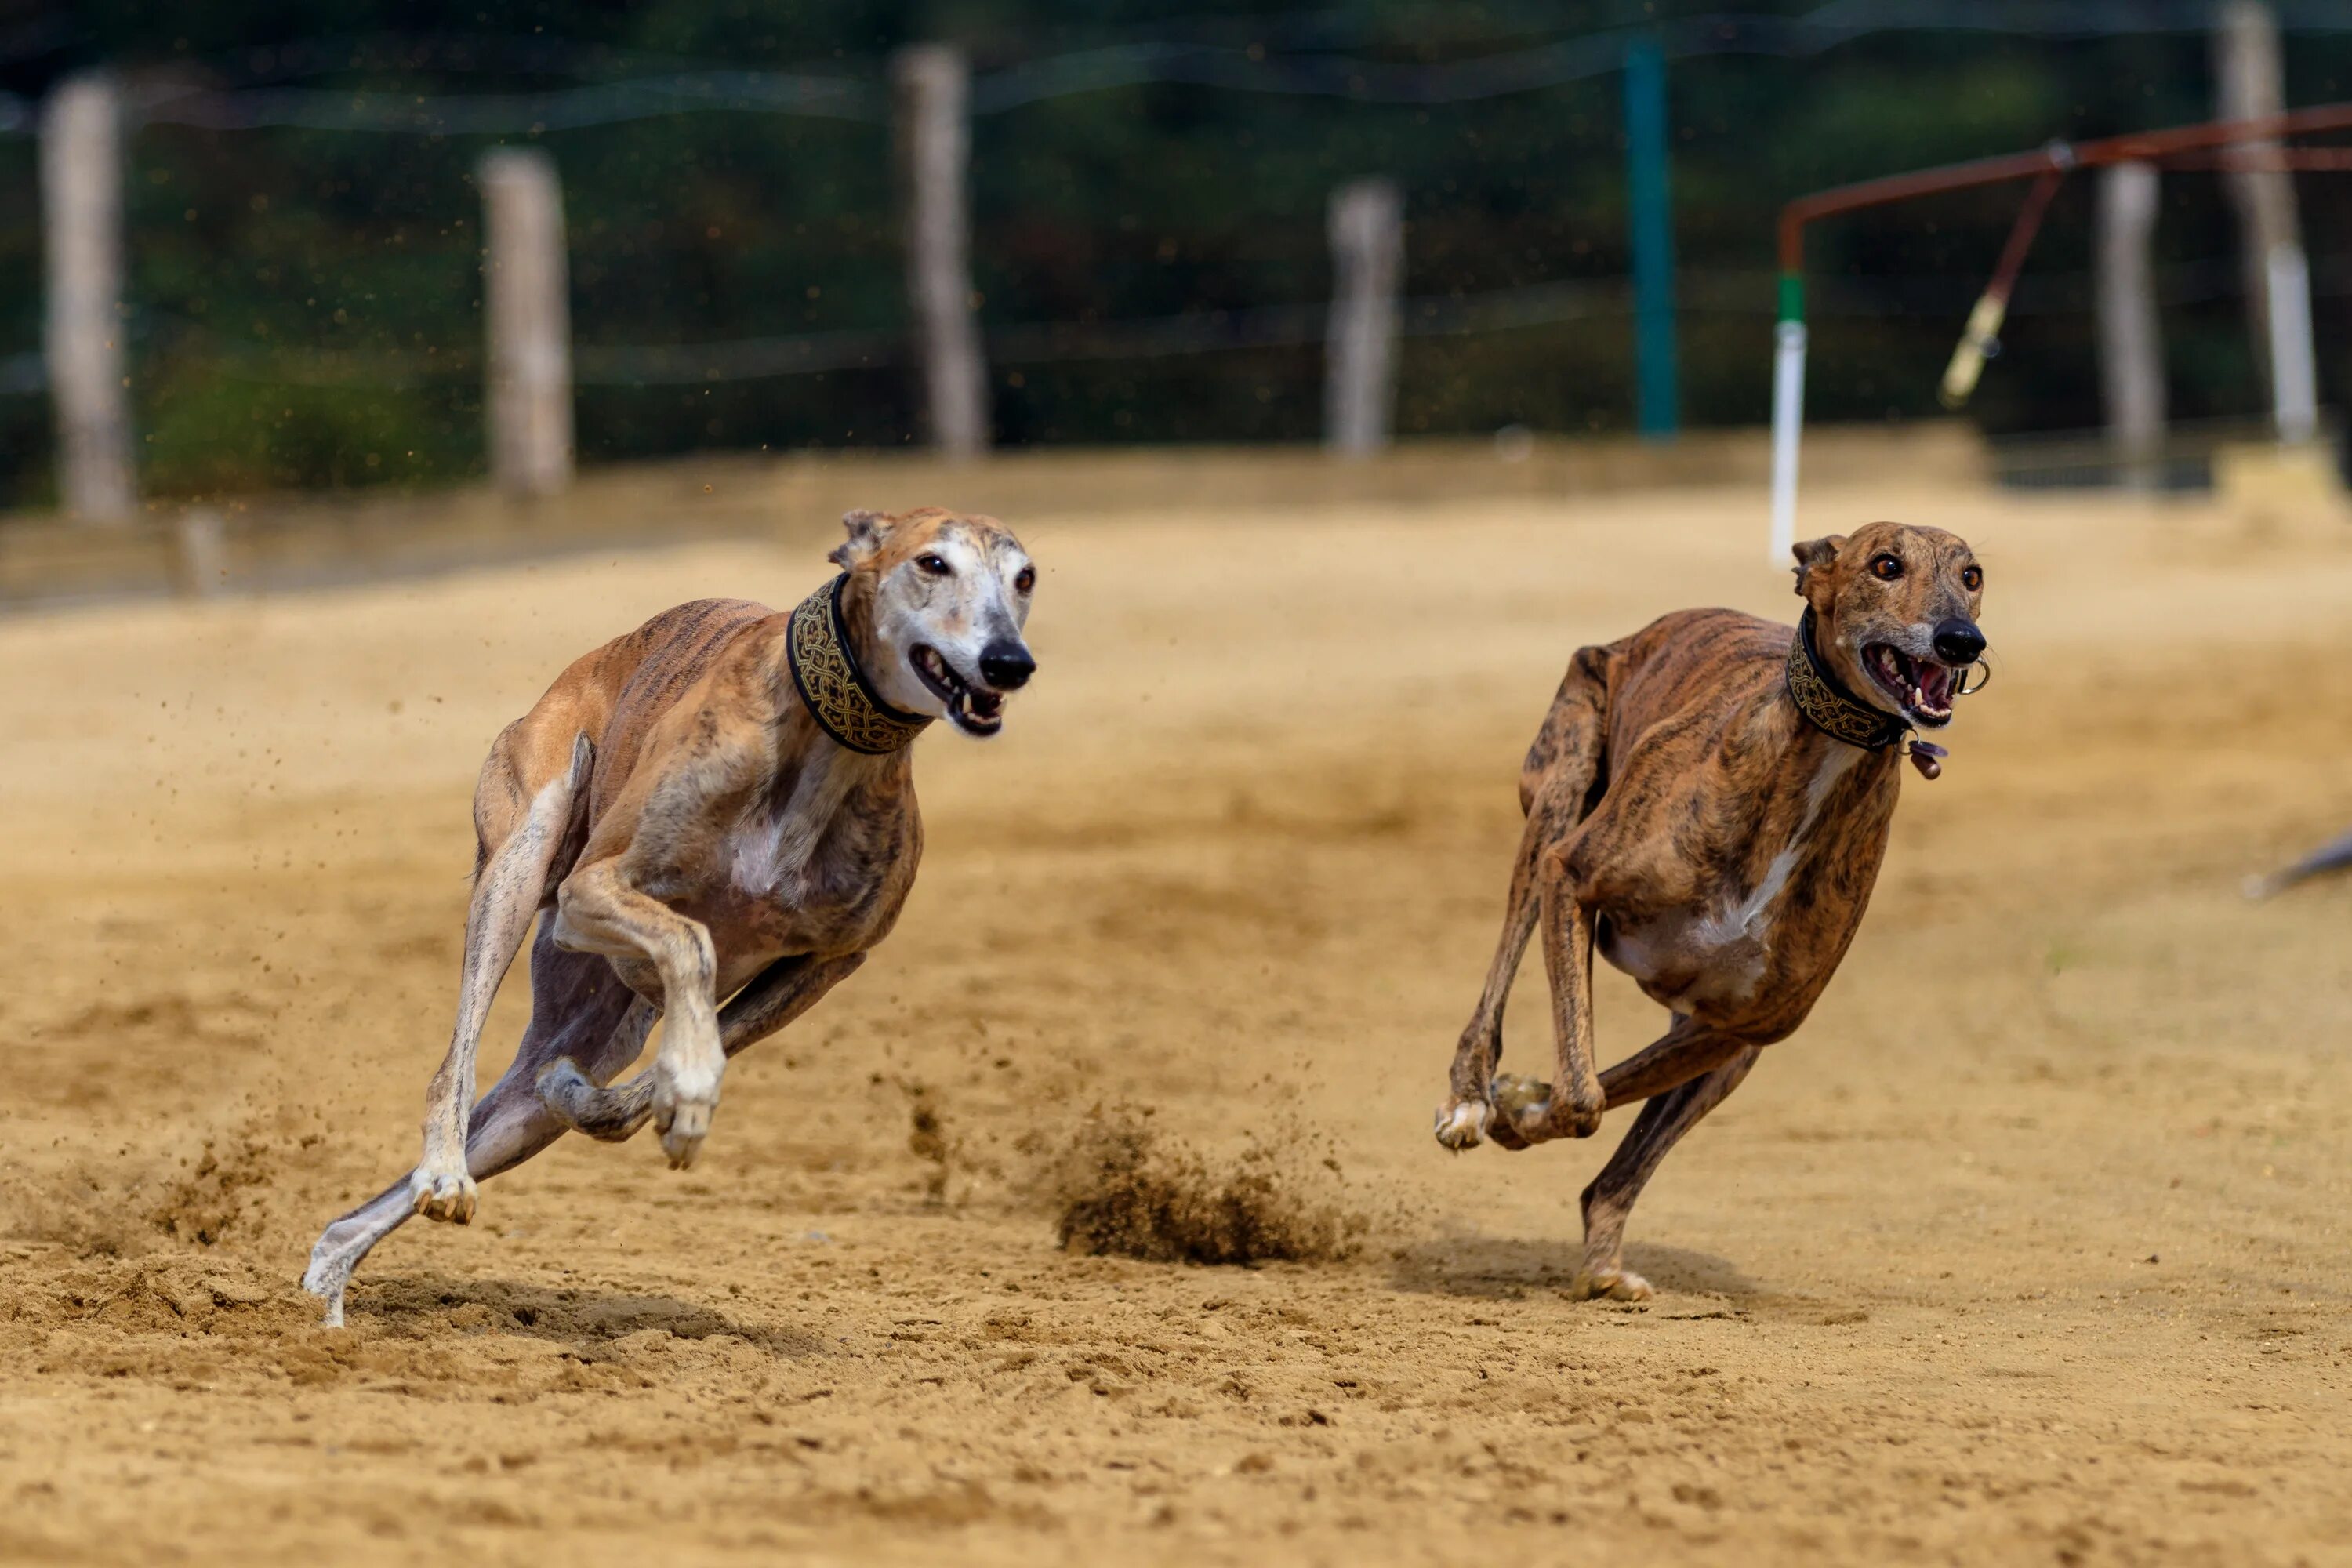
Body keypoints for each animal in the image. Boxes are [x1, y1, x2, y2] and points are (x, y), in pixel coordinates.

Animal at [299, 503, 1035, 1326]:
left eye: (1025, 577)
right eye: (932, 563)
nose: (1009, 663)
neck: (827, 748)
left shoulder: (830, 962)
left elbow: (651, 1080)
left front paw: (662, 1095)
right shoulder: (593, 890)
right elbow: (693, 941)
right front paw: (685, 1081)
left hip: (585, 1032)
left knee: (497, 1114)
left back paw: (333, 1278)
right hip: (525, 859)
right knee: (452, 1063)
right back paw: (445, 1174)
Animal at [1430, 524, 1985, 1298]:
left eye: (1972, 575)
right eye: (1885, 565)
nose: (1962, 640)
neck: (1816, 761)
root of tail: (1639, 634)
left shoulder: (1745, 1025)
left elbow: (1595, 1092)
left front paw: (1522, 1108)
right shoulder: (1570, 876)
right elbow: (1583, 1097)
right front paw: (1507, 1102)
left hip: (1724, 1046)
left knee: (1617, 1169)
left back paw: (1603, 1266)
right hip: (1559, 788)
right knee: (1501, 974)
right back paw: (1467, 1099)